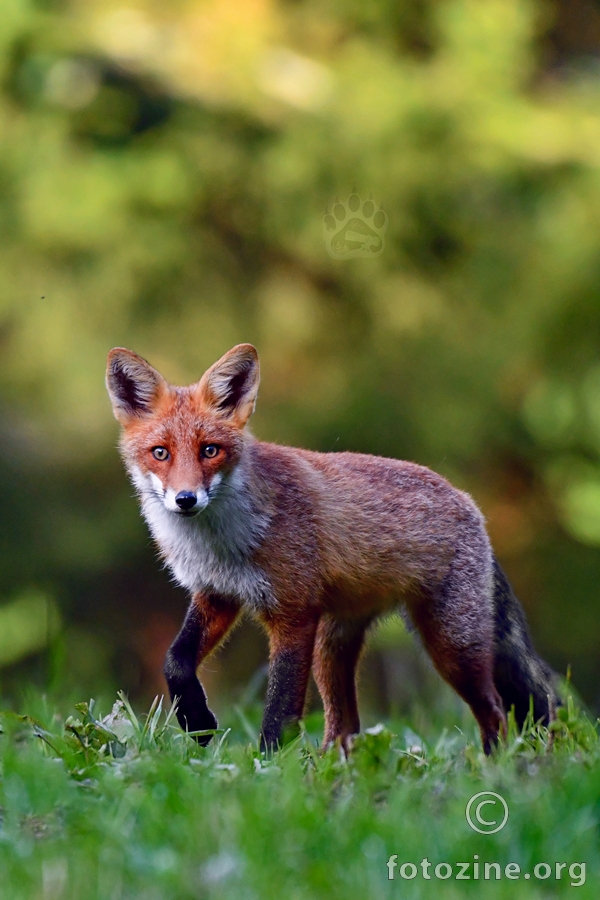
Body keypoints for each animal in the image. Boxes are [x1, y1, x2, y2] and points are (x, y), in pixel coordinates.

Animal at [104, 342, 556, 752]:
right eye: (160, 453)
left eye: (210, 451)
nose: (186, 500)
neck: (219, 545)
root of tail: (468, 501)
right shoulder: (217, 595)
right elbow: (175, 661)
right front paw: (196, 722)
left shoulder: (294, 613)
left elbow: (281, 708)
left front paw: (269, 766)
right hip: (332, 651)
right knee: (346, 726)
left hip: (451, 646)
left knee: (496, 710)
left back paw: (498, 765)